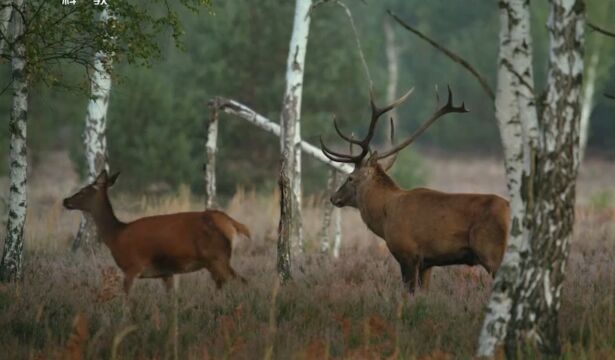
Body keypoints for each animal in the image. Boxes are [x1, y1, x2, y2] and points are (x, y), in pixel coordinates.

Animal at [62, 170, 245, 294]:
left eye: (83, 191)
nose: (65, 200)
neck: (116, 235)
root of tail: (231, 224)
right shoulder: (167, 273)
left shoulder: (132, 266)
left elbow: (127, 298)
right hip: (215, 261)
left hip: (217, 257)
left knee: (241, 282)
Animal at [322, 86, 510, 292]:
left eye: (350, 177)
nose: (333, 197)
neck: (385, 216)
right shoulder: (428, 262)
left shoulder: (408, 254)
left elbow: (408, 293)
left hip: (492, 251)